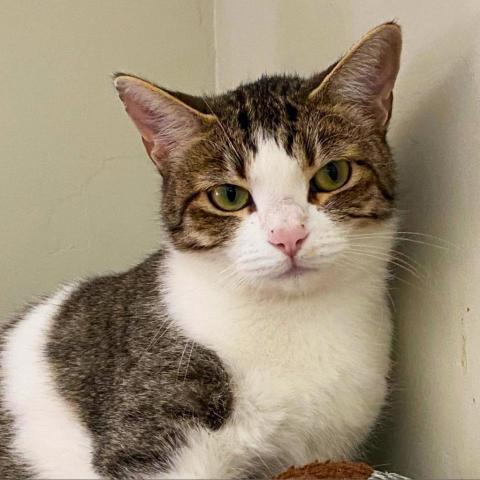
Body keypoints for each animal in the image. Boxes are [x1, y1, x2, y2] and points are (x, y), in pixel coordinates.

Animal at [0, 22, 402, 480]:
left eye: (333, 174)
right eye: (228, 195)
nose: (288, 236)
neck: (296, 319)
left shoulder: (323, 445)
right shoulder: (157, 422)